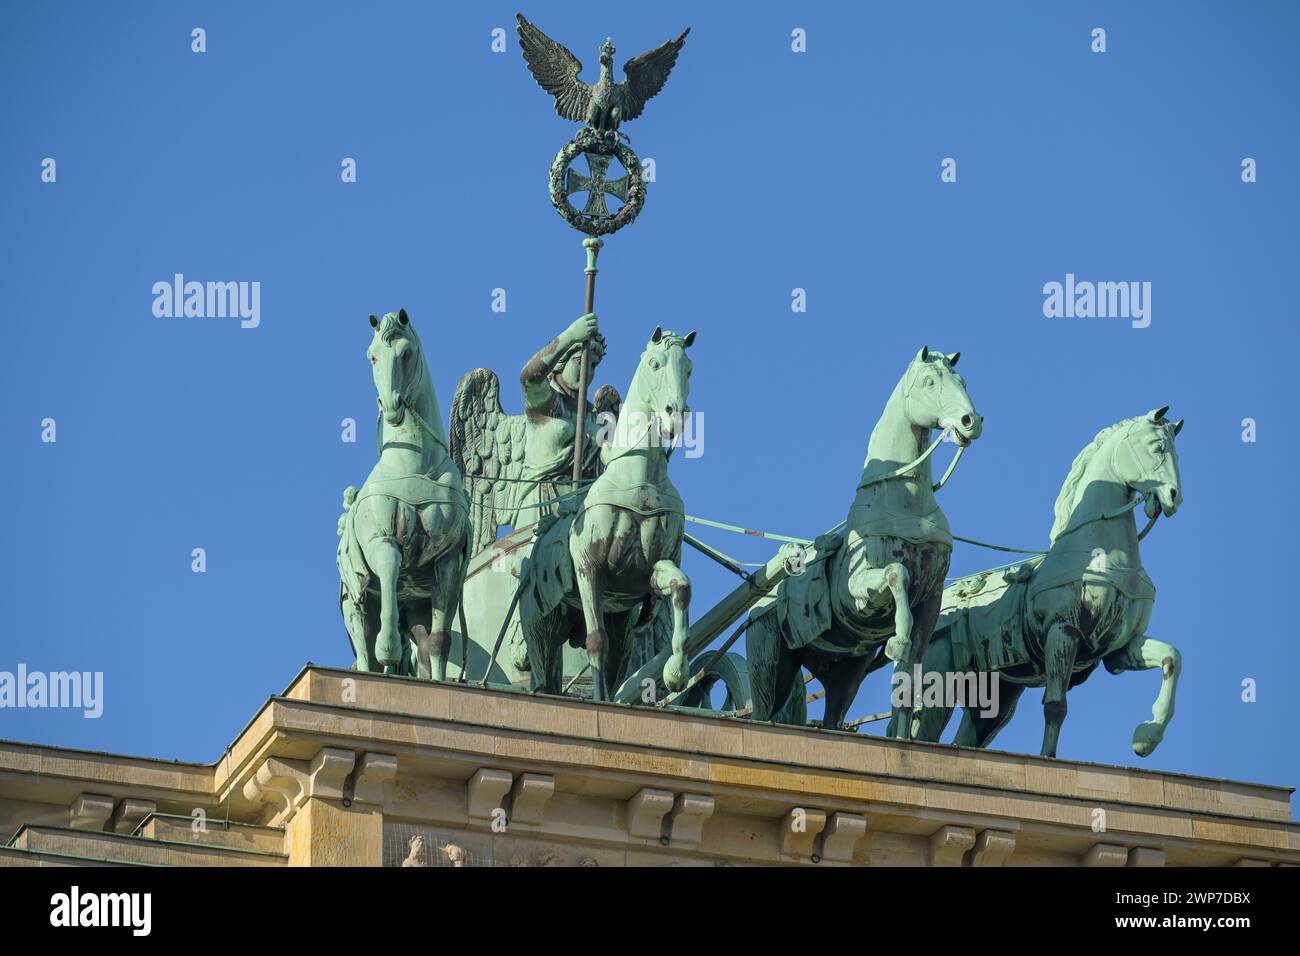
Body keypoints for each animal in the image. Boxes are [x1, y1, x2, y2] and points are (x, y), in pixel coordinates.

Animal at [338, 310, 470, 676]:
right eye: (371, 356)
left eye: (406, 353)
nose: (392, 405)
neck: (415, 461)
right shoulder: (382, 542)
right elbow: (390, 567)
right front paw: (389, 650)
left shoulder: (446, 559)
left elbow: (440, 641)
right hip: (355, 603)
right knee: (363, 649)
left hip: (418, 609)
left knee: (423, 641)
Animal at [520, 329, 696, 702]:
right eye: (654, 363)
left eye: (688, 368)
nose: (674, 414)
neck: (640, 478)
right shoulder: (590, 569)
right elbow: (595, 641)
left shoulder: (651, 571)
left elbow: (681, 588)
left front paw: (676, 671)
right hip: (540, 624)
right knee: (544, 666)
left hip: (621, 629)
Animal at [748, 348, 977, 738]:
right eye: (929, 382)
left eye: (962, 381)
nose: (971, 420)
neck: (904, 502)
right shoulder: (857, 592)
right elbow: (897, 572)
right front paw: (897, 638)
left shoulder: (931, 600)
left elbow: (909, 677)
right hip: (771, 667)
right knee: (763, 712)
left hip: (846, 674)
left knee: (833, 713)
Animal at [899, 408, 1185, 759]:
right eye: (1157, 447)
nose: (1173, 497)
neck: (1101, 555)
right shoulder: (1062, 632)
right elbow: (1055, 706)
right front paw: (1048, 758)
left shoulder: (1119, 648)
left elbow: (1172, 658)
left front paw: (1146, 737)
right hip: (938, 675)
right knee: (924, 728)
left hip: (996, 695)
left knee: (965, 736)